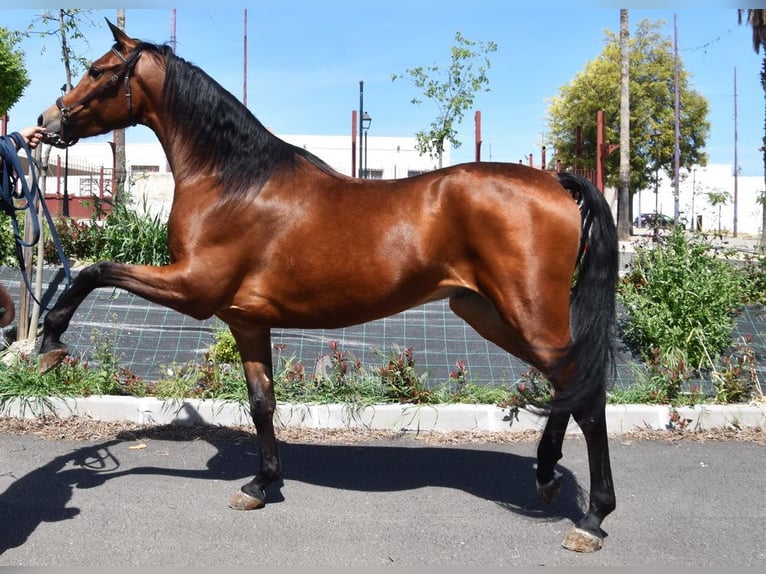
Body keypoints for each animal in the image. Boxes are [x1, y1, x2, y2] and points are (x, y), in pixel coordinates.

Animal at [38, 19, 618, 553]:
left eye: (97, 71)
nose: (46, 121)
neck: (233, 181)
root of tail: (553, 180)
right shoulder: (245, 319)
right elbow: (262, 403)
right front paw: (260, 484)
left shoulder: (193, 288)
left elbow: (95, 271)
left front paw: (49, 341)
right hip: (485, 312)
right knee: (568, 387)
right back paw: (546, 476)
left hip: (528, 314)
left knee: (587, 398)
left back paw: (592, 519)